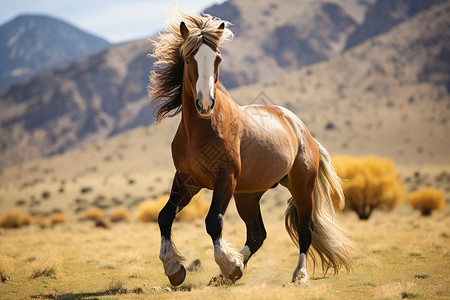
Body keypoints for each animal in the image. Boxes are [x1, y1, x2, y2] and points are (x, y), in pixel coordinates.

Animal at [149, 11, 354, 286]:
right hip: (248, 195)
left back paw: (297, 275)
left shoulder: (226, 178)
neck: (201, 129)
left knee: (305, 229)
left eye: (218, 58)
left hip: (301, 187)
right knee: (258, 233)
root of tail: (302, 130)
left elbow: (213, 221)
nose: (205, 104)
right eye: (188, 58)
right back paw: (229, 273)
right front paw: (174, 268)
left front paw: (227, 263)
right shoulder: (186, 180)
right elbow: (164, 216)